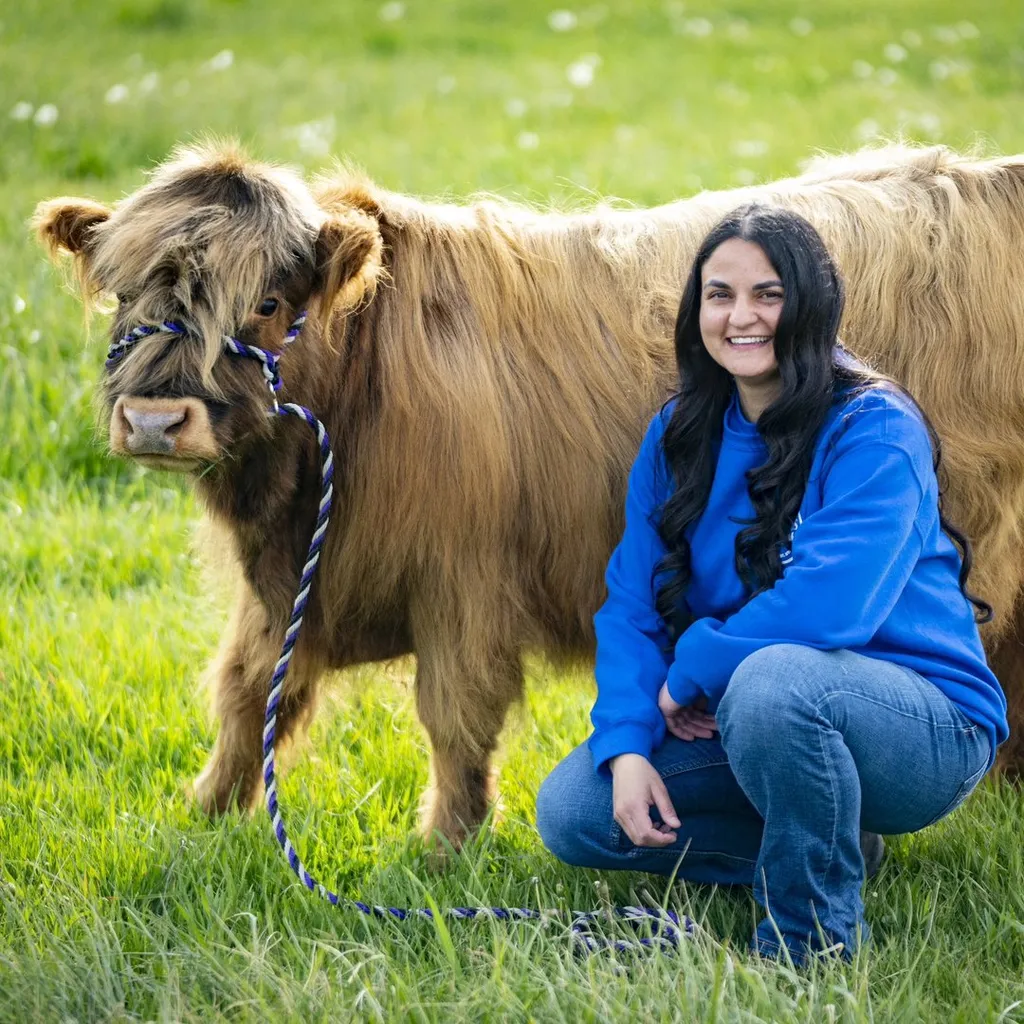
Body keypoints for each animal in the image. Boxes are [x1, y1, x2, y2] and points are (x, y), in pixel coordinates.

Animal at [34, 140, 1024, 845]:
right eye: (122, 296)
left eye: (270, 303)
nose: (156, 420)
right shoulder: (293, 586)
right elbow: (247, 691)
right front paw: (203, 816)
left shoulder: (462, 581)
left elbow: (453, 716)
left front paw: (446, 846)